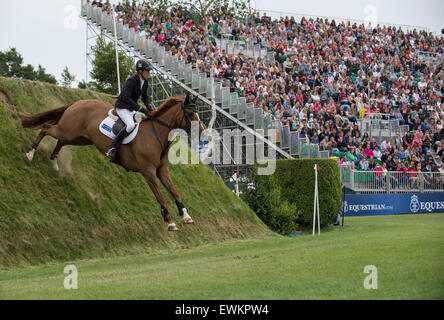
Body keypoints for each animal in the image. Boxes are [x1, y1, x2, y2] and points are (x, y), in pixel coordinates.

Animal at [19, 94, 203, 231]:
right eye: (190, 114)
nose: (201, 134)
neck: (156, 134)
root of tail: (78, 102)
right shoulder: (148, 172)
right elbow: (161, 196)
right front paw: (170, 222)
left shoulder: (161, 170)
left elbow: (174, 192)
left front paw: (186, 216)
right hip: (69, 131)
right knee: (46, 128)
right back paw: (30, 153)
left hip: (78, 137)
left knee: (60, 141)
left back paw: (54, 162)